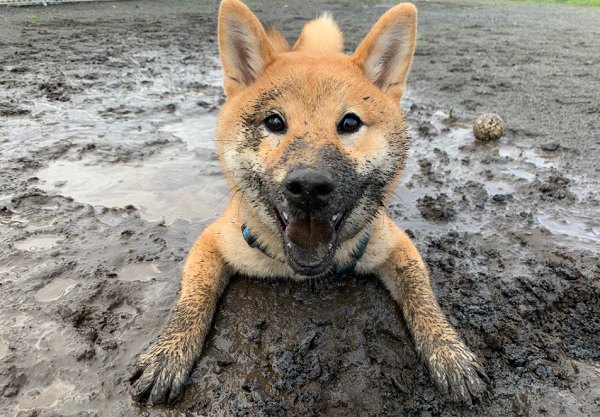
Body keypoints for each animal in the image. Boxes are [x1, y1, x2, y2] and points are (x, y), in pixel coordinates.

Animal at [130, 0, 488, 404]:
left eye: (350, 123)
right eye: (274, 122)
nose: (309, 186)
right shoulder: (214, 241)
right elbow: (192, 301)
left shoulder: (396, 245)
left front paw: (449, 352)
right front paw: (168, 352)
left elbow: (423, 299)